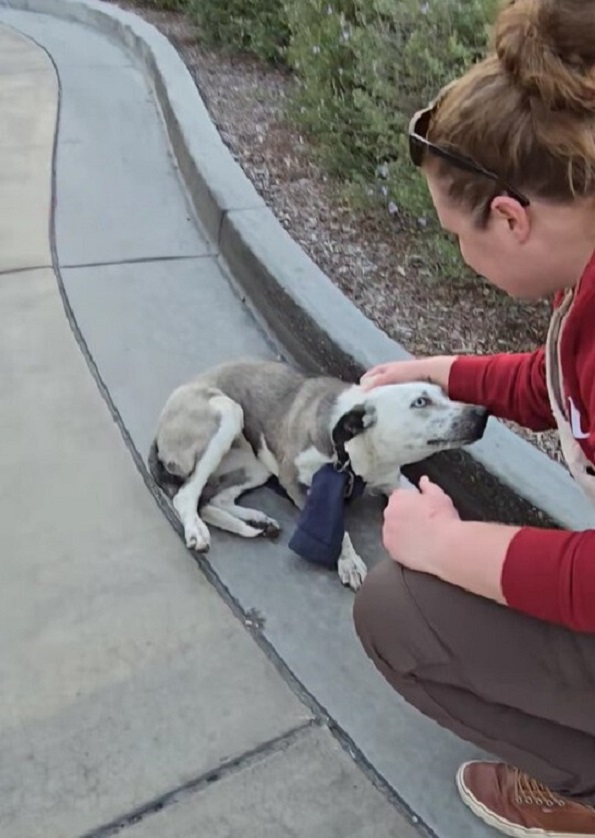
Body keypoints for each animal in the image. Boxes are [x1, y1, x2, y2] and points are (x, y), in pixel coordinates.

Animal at [149, 360, 488, 592]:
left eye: (445, 394)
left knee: (213, 499)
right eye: (421, 402)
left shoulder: (394, 480)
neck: (354, 451)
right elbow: (336, 524)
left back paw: (256, 521)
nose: (482, 413)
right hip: (227, 411)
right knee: (188, 496)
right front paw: (348, 560)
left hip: (257, 462)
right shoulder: (295, 481)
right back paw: (197, 528)